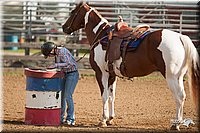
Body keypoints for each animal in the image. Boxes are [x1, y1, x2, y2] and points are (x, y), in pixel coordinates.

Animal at [61, 2, 199, 131]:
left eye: (72, 12)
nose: (64, 27)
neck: (101, 36)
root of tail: (180, 37)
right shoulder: (112, 75)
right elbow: (111, 96)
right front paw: (110, 119)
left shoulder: (101, 74)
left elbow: (104, 96)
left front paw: (103, 120)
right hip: (178, 77)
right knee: (182, 96)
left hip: (171, 77)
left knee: (179, 97)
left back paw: (176, 124)